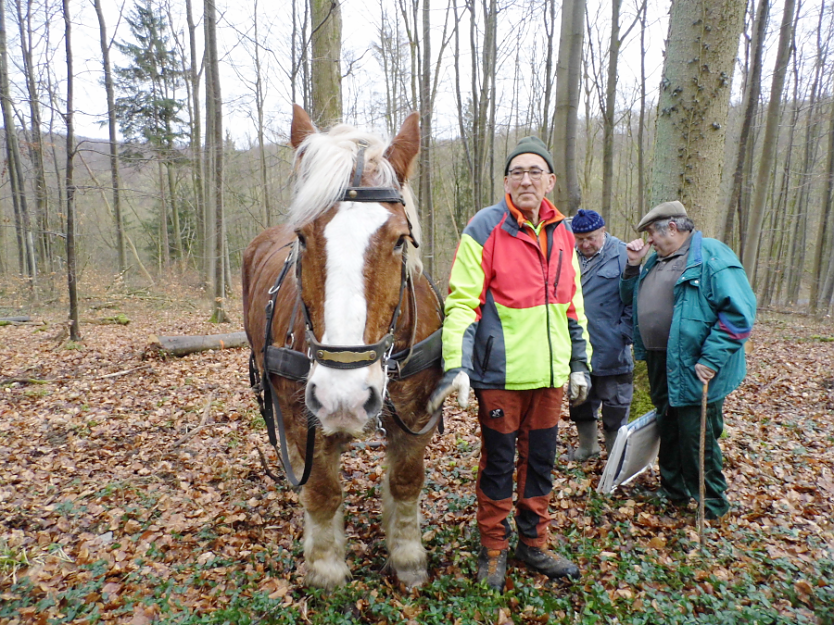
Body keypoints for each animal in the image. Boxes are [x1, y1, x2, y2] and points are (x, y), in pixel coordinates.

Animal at [242, 105, 442, 588]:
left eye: (400, 240)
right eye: (302, 238)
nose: (343, 397)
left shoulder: (417, 415)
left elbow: (407, 480)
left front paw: (407, 555)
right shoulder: (303, 415)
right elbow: (321, 489)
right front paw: (326, 566)